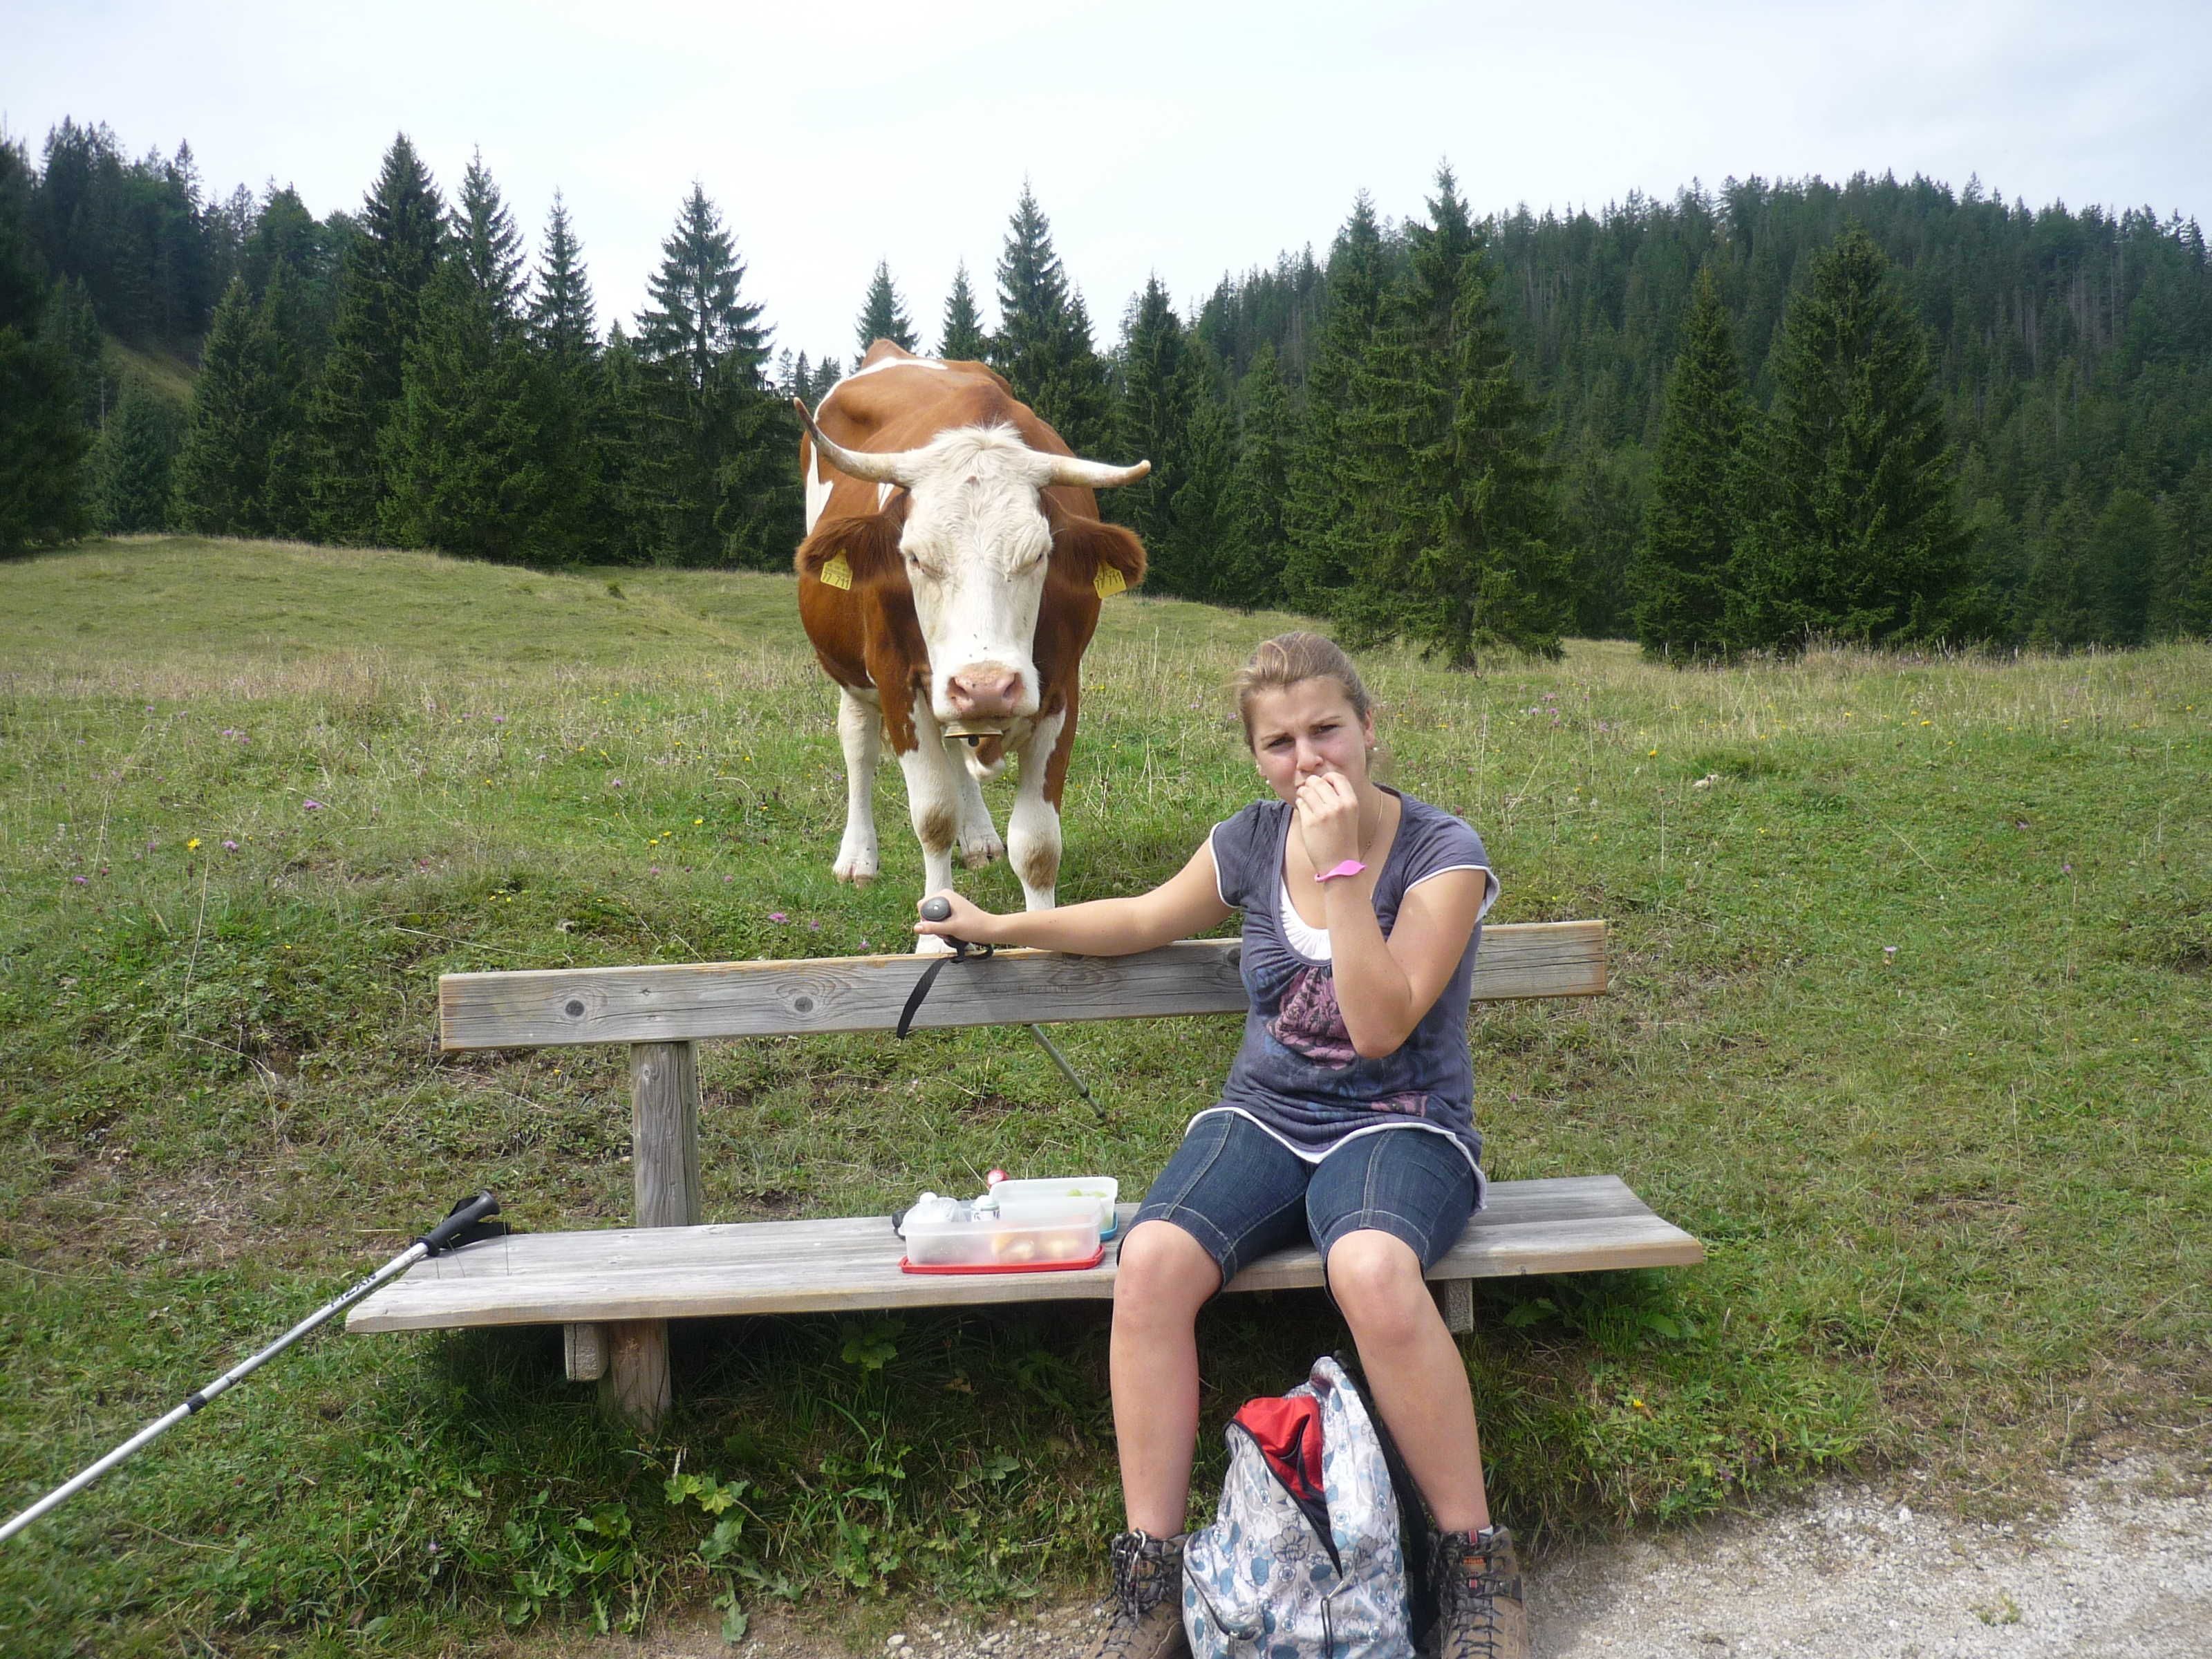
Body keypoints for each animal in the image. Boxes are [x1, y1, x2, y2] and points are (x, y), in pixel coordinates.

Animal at [792, 341, 1150, 946]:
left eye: (1038, 554)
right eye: (915, 557)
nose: (986, 685)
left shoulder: (1061, 687)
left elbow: (1038, 844)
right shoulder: (899, 682)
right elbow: (933, 816)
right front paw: (936, 933)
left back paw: (979, 837)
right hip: (852, 671)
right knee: (858, 744)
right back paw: (858, 856)